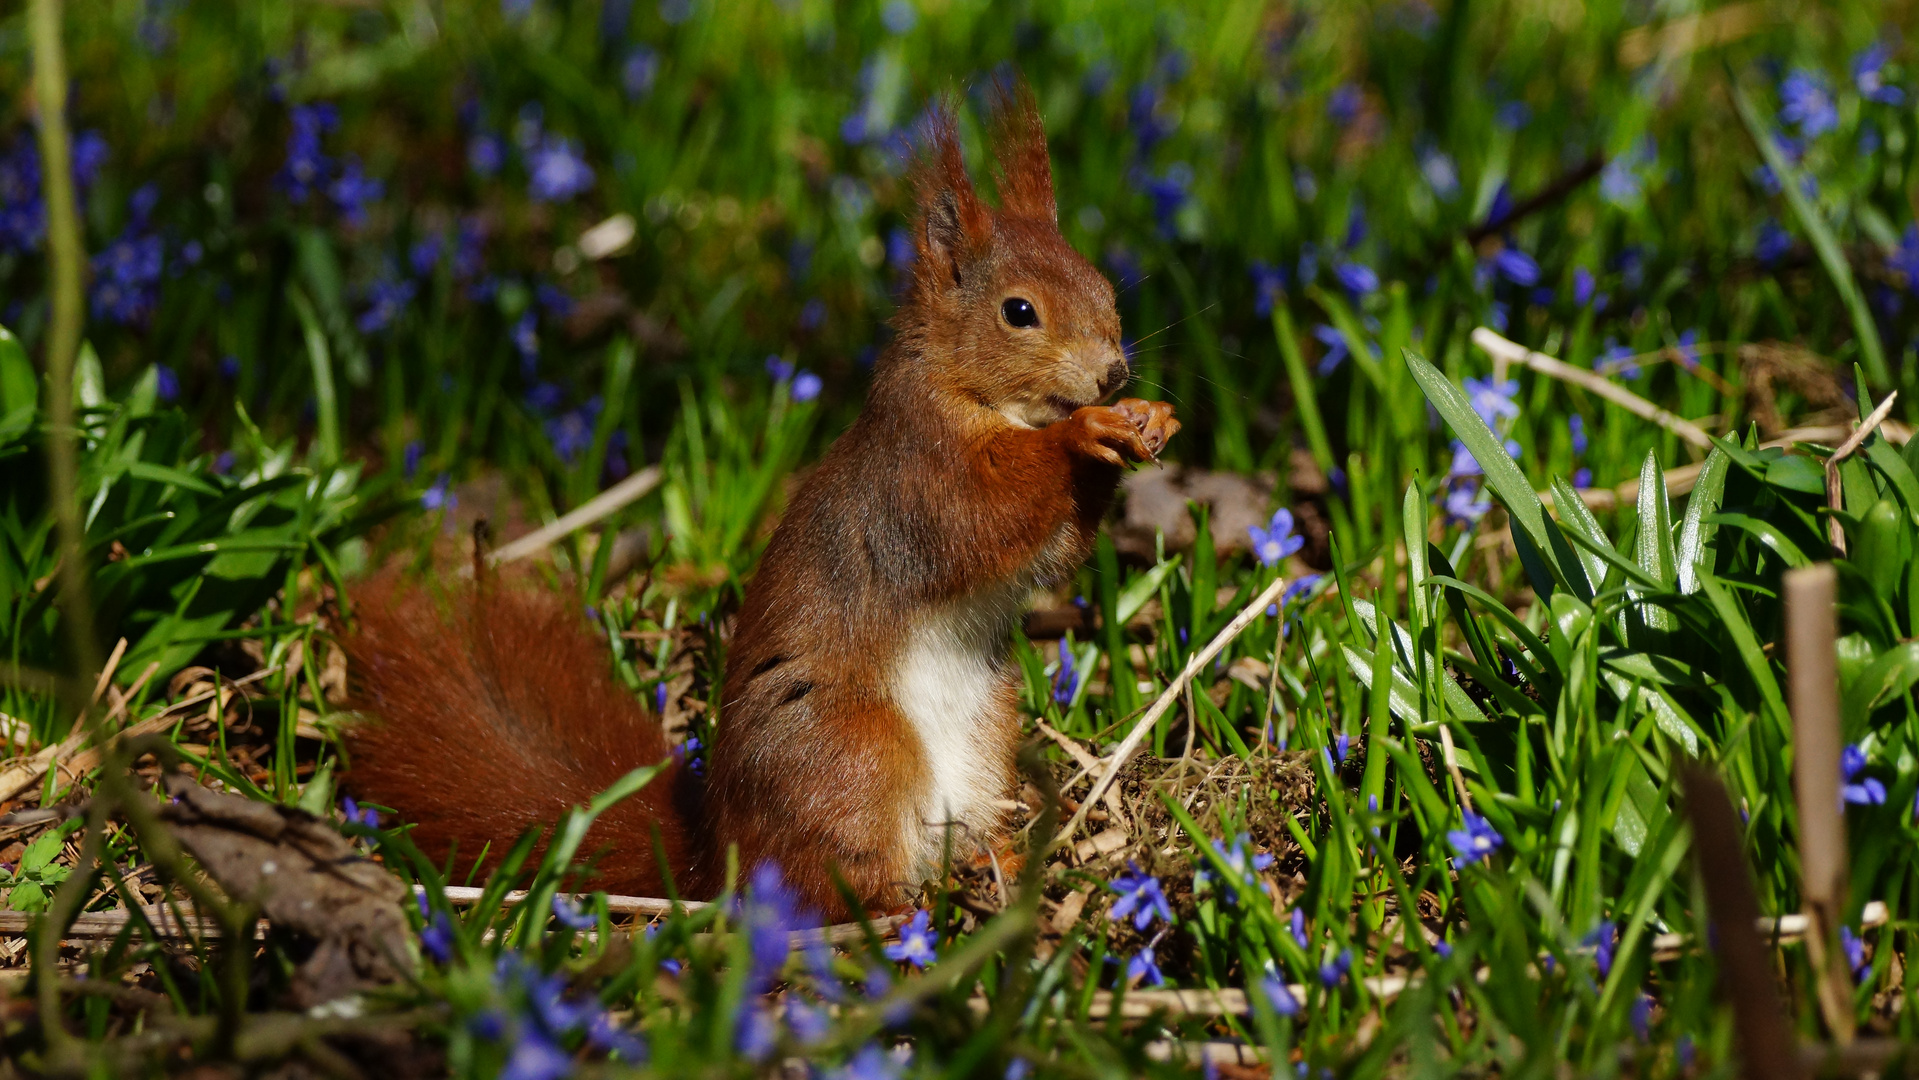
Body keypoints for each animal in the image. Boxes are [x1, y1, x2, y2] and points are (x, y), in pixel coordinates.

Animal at [349, 86, 1182, 913]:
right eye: (1018, 311)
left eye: (1104, 287)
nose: (1111, 374)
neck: (979, 397)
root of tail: (717, 856)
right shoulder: (917, 473)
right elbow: (982, 518)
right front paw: (1085, 432)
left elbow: (1053, 552)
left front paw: (1146, 419)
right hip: (852, 749)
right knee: (833, 878)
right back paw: (899, 912)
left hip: (985, 730)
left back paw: (996, 862)